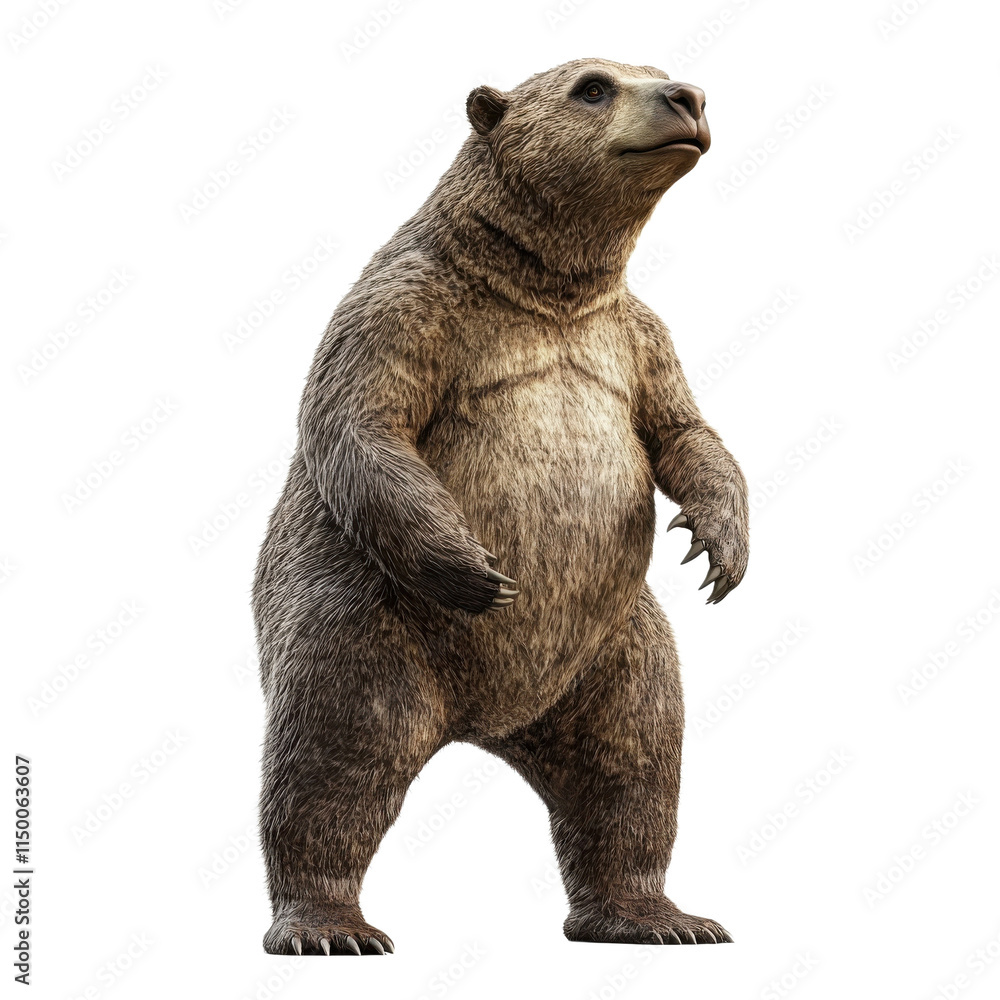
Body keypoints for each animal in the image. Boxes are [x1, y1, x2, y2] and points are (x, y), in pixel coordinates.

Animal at [253, 57, 749, 955]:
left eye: (660, 72)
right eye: (594, 84)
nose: (687, 97)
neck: (547, 288)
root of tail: (486, 722)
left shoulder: (634, 337)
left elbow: (684, 429)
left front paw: (719, 550)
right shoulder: (403, 305)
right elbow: (363, 419)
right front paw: (478, 570)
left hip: (613, 649)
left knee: (634, 761)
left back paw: (658, 916)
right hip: (363, 623)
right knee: (332, 758)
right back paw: (328, 926)